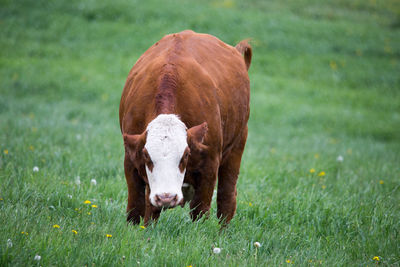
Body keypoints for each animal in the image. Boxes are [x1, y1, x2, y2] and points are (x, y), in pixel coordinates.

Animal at [119, 29, 252, 226]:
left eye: (186, 155)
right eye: (146, 155)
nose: (166, 197)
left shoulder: (209, 164)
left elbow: (200, 211)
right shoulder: (130, 159)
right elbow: (137, 208)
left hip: (237, 145)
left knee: (226, 198)